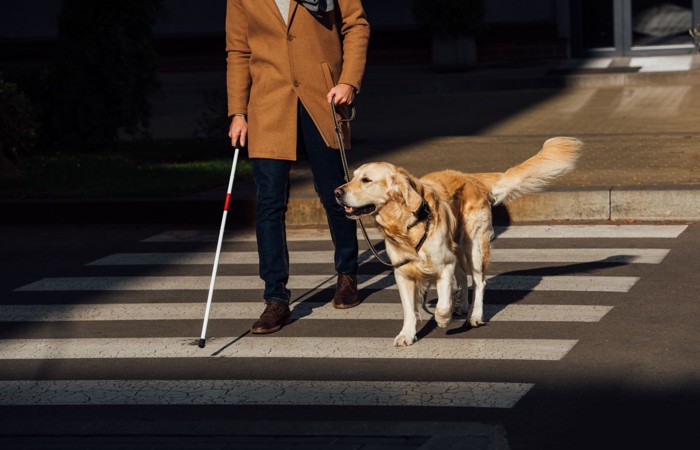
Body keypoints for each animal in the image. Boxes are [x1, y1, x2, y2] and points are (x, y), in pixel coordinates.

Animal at [336, 137, 584, 348]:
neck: (407, 224)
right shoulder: (403, 272)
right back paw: (463, 306)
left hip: (473, 247)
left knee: (479, 281)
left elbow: (442, 303)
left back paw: (474, 315)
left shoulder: (443, 265)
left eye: (366, 180)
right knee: (464, 278)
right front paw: (406, 334)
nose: (337, 191)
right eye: (353, 177)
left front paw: (442, 319)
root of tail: (471, 177)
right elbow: (409, 308)